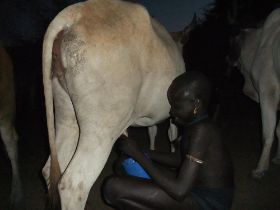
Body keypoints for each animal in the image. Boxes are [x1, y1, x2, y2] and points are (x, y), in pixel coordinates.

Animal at [42, 0, 186, 210]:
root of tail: (72, 14)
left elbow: (153, 132)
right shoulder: (173, 114)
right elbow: (172, 135)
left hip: (65, 114)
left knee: (50, 169)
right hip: (101, 127)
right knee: (74, 184)